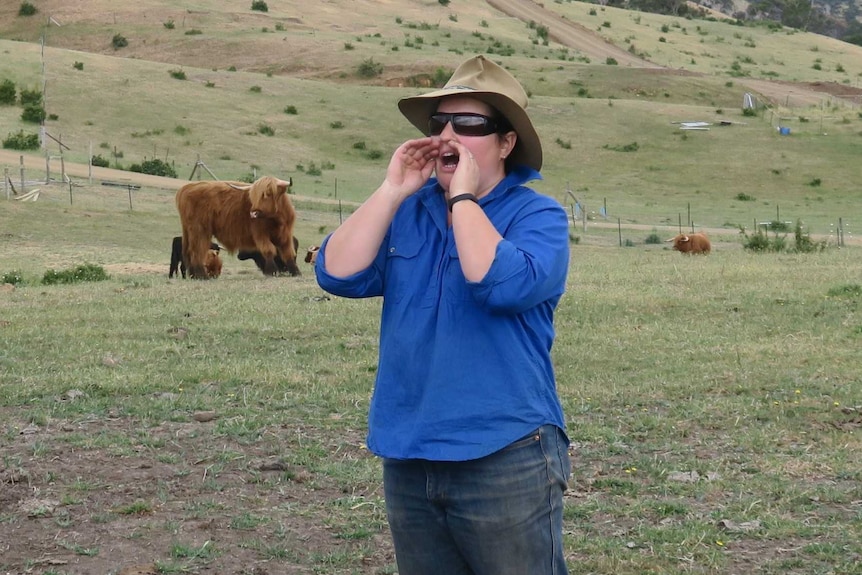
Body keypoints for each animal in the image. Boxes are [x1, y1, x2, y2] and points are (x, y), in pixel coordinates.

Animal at [174, 178, 302, 282]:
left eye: (268, 194)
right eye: (253, 195)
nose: (254, 213)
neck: (276, 220)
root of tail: (187, 188)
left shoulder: (285, 235)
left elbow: (288, 252)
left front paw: (296, 272)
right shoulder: (261, 235)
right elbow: (269, 250)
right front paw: (272, 271)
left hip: (190, 231)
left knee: (189, 252)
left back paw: (194, 276)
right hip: (200, 231)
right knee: (197, 252)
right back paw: (202, 276)